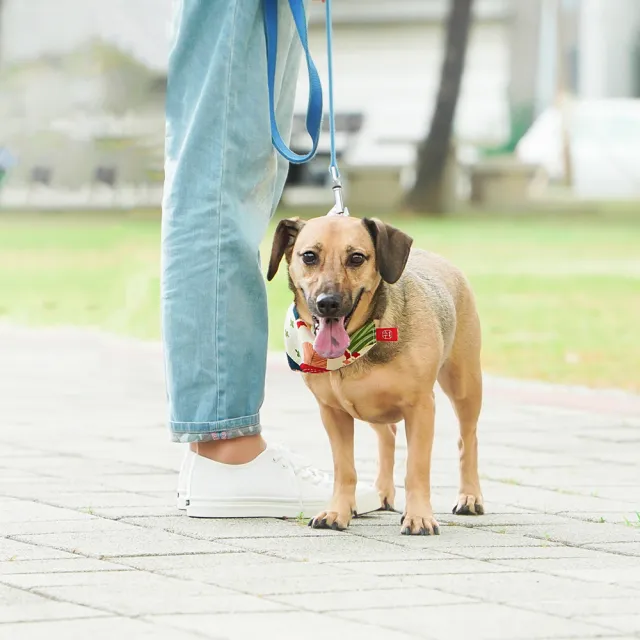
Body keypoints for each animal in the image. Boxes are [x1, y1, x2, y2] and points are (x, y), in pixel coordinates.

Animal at [268, 215, 482, 536]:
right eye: (309, 256)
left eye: (357, 258)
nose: (328, 302)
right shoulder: (332, 412)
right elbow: (345, 469)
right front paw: (338, 512)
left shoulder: (421, 407)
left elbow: (416, 469)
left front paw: (419, 516)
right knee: (388, 435)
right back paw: (380, 493)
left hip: (465, 386)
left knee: (467, 439)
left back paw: (470, 496)